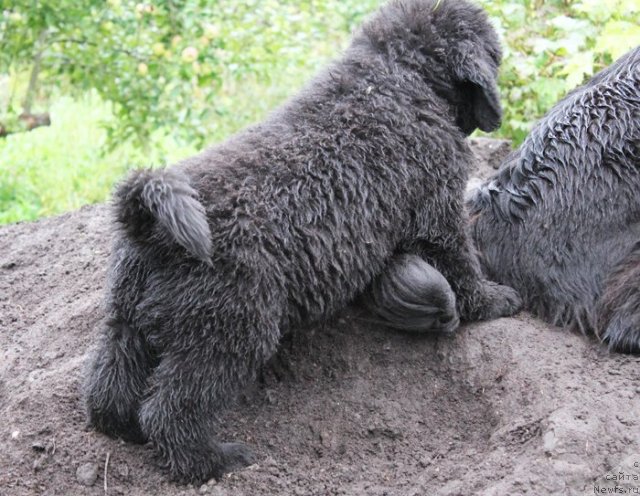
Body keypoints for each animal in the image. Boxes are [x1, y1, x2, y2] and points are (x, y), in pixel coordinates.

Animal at [86, 0, 520, 482]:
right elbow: (462, 266)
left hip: (128, 317)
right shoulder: (438, 209)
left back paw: (123, 429)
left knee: (111, 386)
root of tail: (151, 226)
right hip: (229, 331)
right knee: (172, 411)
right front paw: (495, 300)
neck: (397, 72)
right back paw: (216, 461)